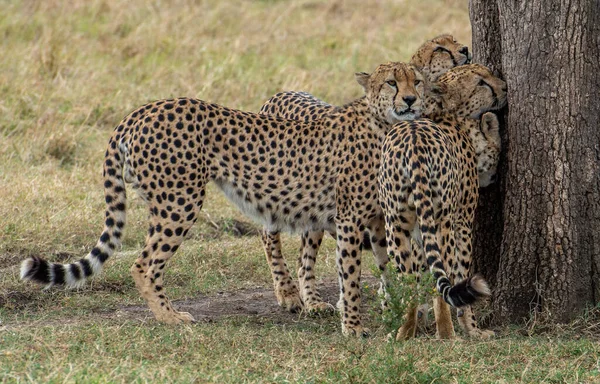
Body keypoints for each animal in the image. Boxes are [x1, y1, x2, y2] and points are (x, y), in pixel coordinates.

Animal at [19, 61, 426, 338]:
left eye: (417, 81)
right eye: (392, 82)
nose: (410, 99)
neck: (384, 123)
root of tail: (140, 111)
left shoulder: (379, 221)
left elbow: (391, 270)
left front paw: (399, 313)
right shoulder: (350, 219)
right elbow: (352, 276)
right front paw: (354, 327)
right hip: (179, 201)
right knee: (144, 263)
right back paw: (170, 317)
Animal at [258, 34, 474, 314]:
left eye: (455, 41)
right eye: (440, 49)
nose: (465, 49)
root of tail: (280, 93)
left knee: (305, 255)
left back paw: (313, 301)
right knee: (269, 237)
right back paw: (288, 293)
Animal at [380, 64, 506, 340]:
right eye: (481, 82)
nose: (504, 87)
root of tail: (414, 143)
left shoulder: (417, 231)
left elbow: (419, 275)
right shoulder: (463, 223)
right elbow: (459, 271)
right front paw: (473, 329)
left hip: (395, 224)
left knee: (408, 280)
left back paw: (402, 333)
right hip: (442, 222)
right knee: (443, 282)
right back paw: (448, 334)